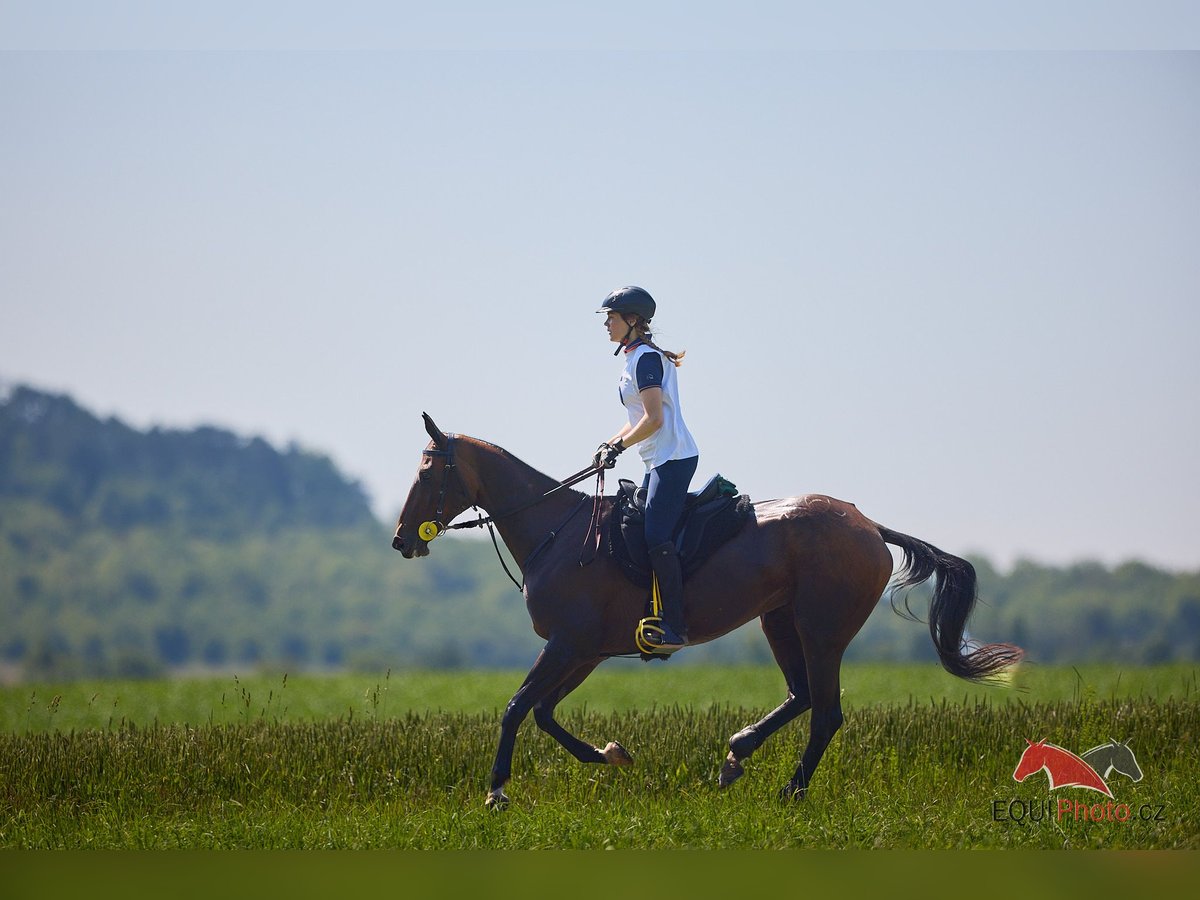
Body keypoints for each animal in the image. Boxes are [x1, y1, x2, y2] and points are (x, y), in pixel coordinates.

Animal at [391, 415, 1022, 811]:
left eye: (426, 472)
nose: (401, 540)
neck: (558, 531)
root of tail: (867, 525)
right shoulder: (585, 651)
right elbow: (543, 711)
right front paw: (611, 755)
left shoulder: (567, 644)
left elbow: (517, 707)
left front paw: (497, 791)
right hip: (778, 621)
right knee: (802, 696)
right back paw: (736, 755)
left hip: (821, 631)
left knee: (826, 712)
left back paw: (790, 792)